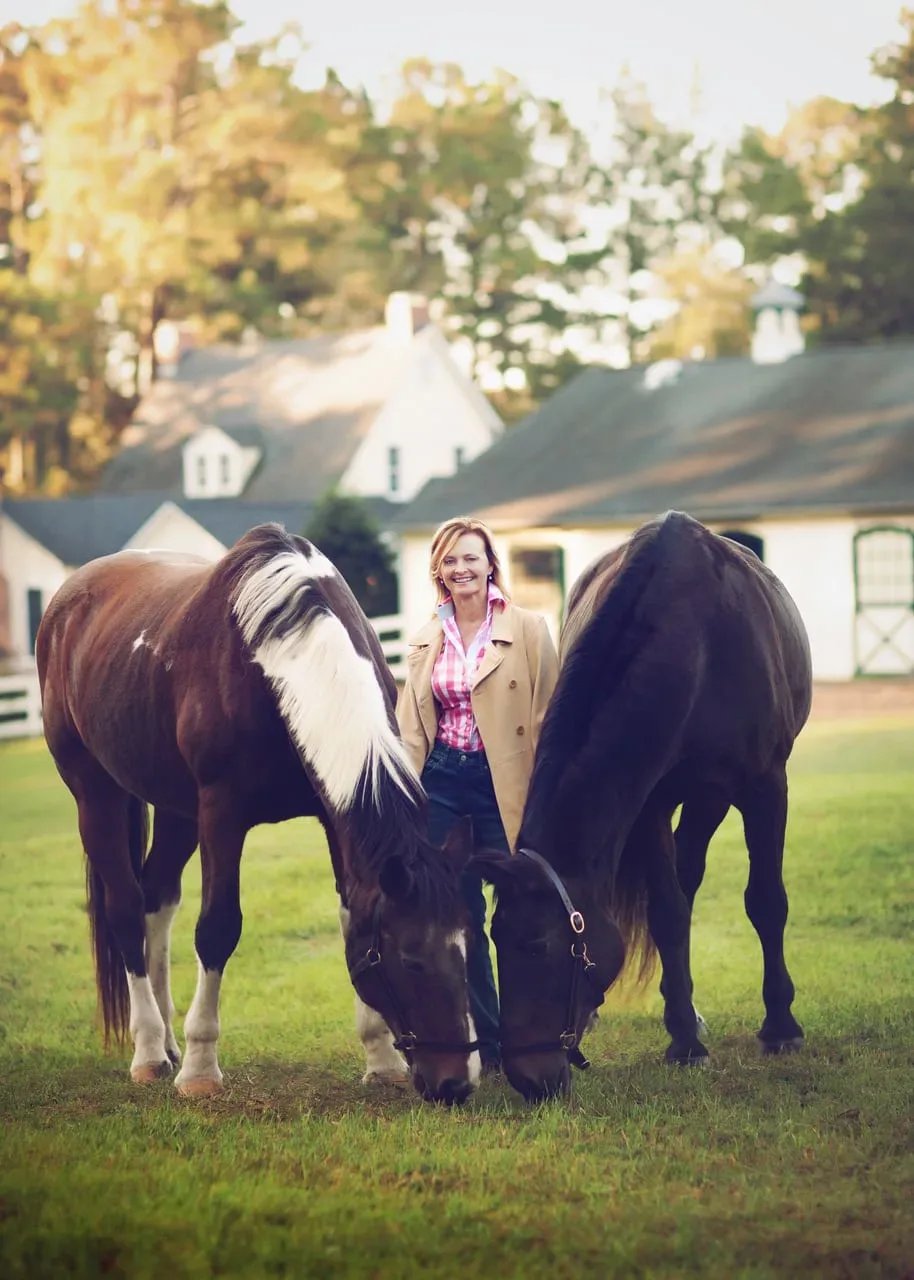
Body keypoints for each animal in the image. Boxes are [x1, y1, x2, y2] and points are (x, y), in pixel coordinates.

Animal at [35, 524, 476, 1105]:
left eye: (467, 948)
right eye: (410, 959)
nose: (455, 1083)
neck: (272, 659)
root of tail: (66, 600)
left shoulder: (332, 819)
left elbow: (351, 917)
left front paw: (380, 1059)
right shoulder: (221, 813)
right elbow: (218, 927)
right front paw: (200, 1067)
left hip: (176, 810)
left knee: (156, 900)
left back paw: (166, 1039)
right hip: (96, 795)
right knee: (126, 909)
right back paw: (151, 1050)